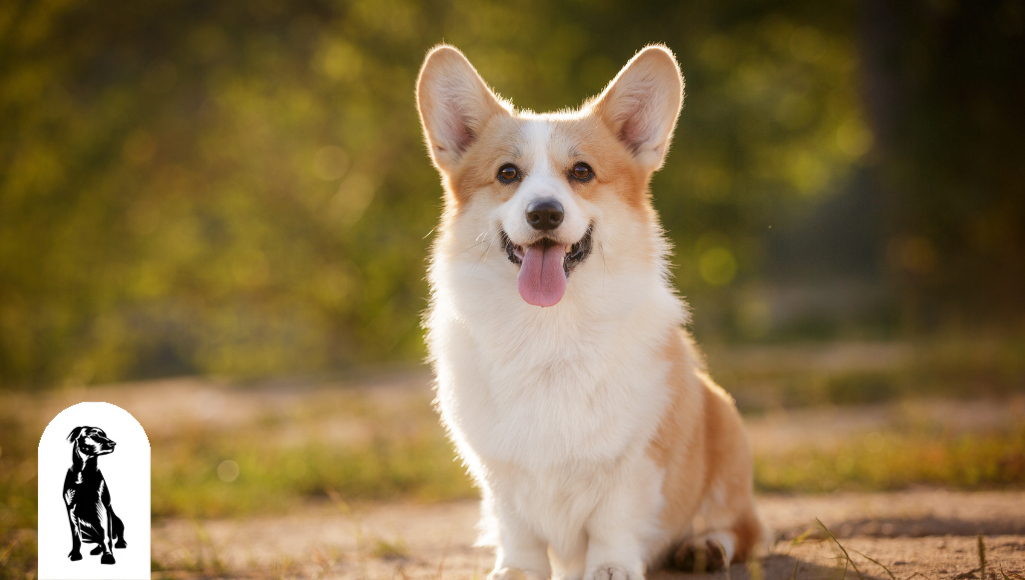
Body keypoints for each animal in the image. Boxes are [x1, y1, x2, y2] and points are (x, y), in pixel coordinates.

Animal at [414, 45, 762, 580]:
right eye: (507, 173)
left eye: (581, 172)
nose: (544, 213)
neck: (548, 327)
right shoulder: (499, 467)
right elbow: (517, 527)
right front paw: (517, 570)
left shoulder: (637, 456)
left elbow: (612, 519)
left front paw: (611, 567)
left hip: (726, 428)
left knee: (743, 529)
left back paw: (706, 548)